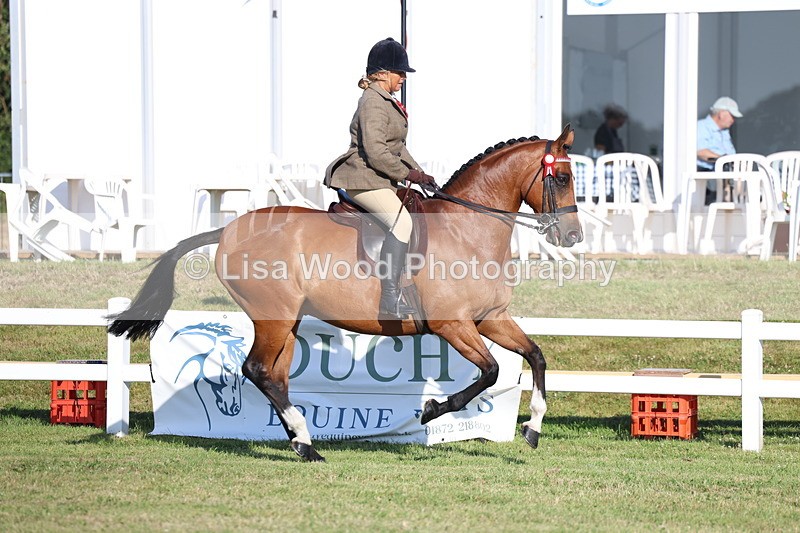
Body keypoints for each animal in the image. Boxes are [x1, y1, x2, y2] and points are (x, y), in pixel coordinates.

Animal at [109, 124, 582, 462]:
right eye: (560, 178)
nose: (573, 236)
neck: (467, 229)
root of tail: (226, 230)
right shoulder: (453, 324)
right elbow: (491, 372)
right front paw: (431, 410)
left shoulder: (490, 318)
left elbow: (536, 356)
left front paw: (533, 428)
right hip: (273, 315)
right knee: (258, 370)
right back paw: (306, 444)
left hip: (287, 321)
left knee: (274, 376)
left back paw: (303, 443)